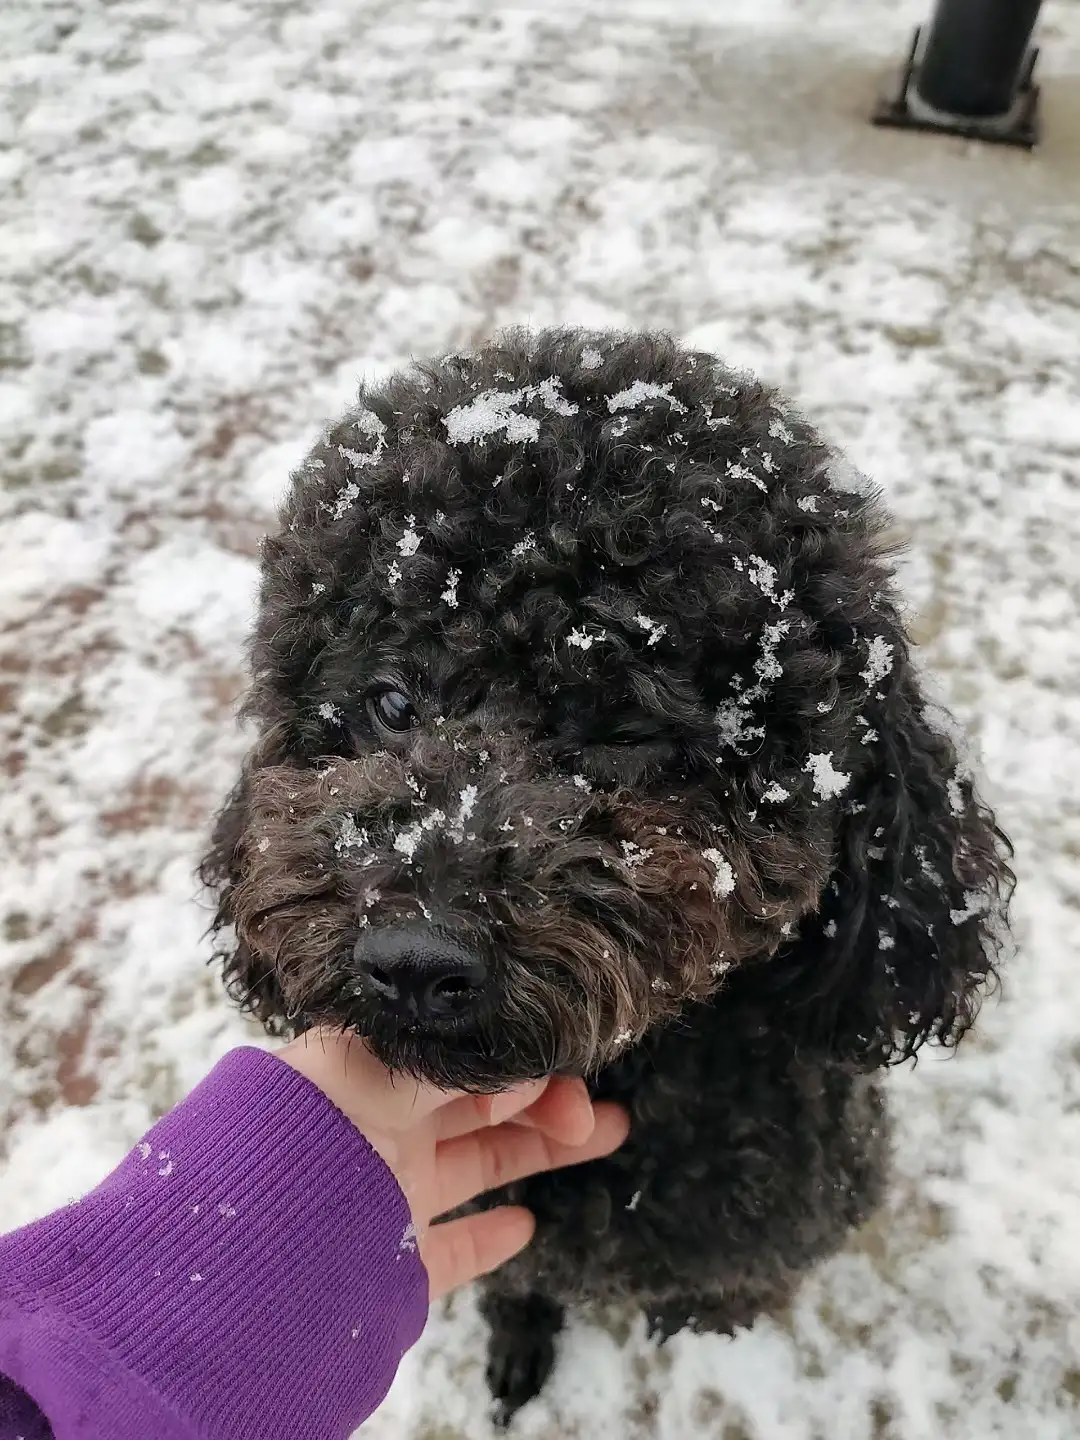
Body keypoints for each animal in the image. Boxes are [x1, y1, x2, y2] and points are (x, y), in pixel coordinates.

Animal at [201, 331, 1013, 1422]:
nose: (412, 960)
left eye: (629, 728)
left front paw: (697, 1327)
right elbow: (518, 1287)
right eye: (389, 702)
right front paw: (518, 1353)